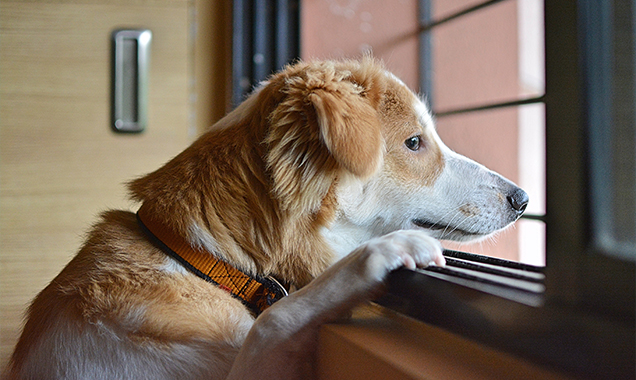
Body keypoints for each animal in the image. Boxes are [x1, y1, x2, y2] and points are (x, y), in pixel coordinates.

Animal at [4, 58, 528, 378]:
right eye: (414, 142)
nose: (522, 198)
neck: (205, 261)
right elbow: (275, 320)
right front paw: (380, 255)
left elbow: (272, 320)